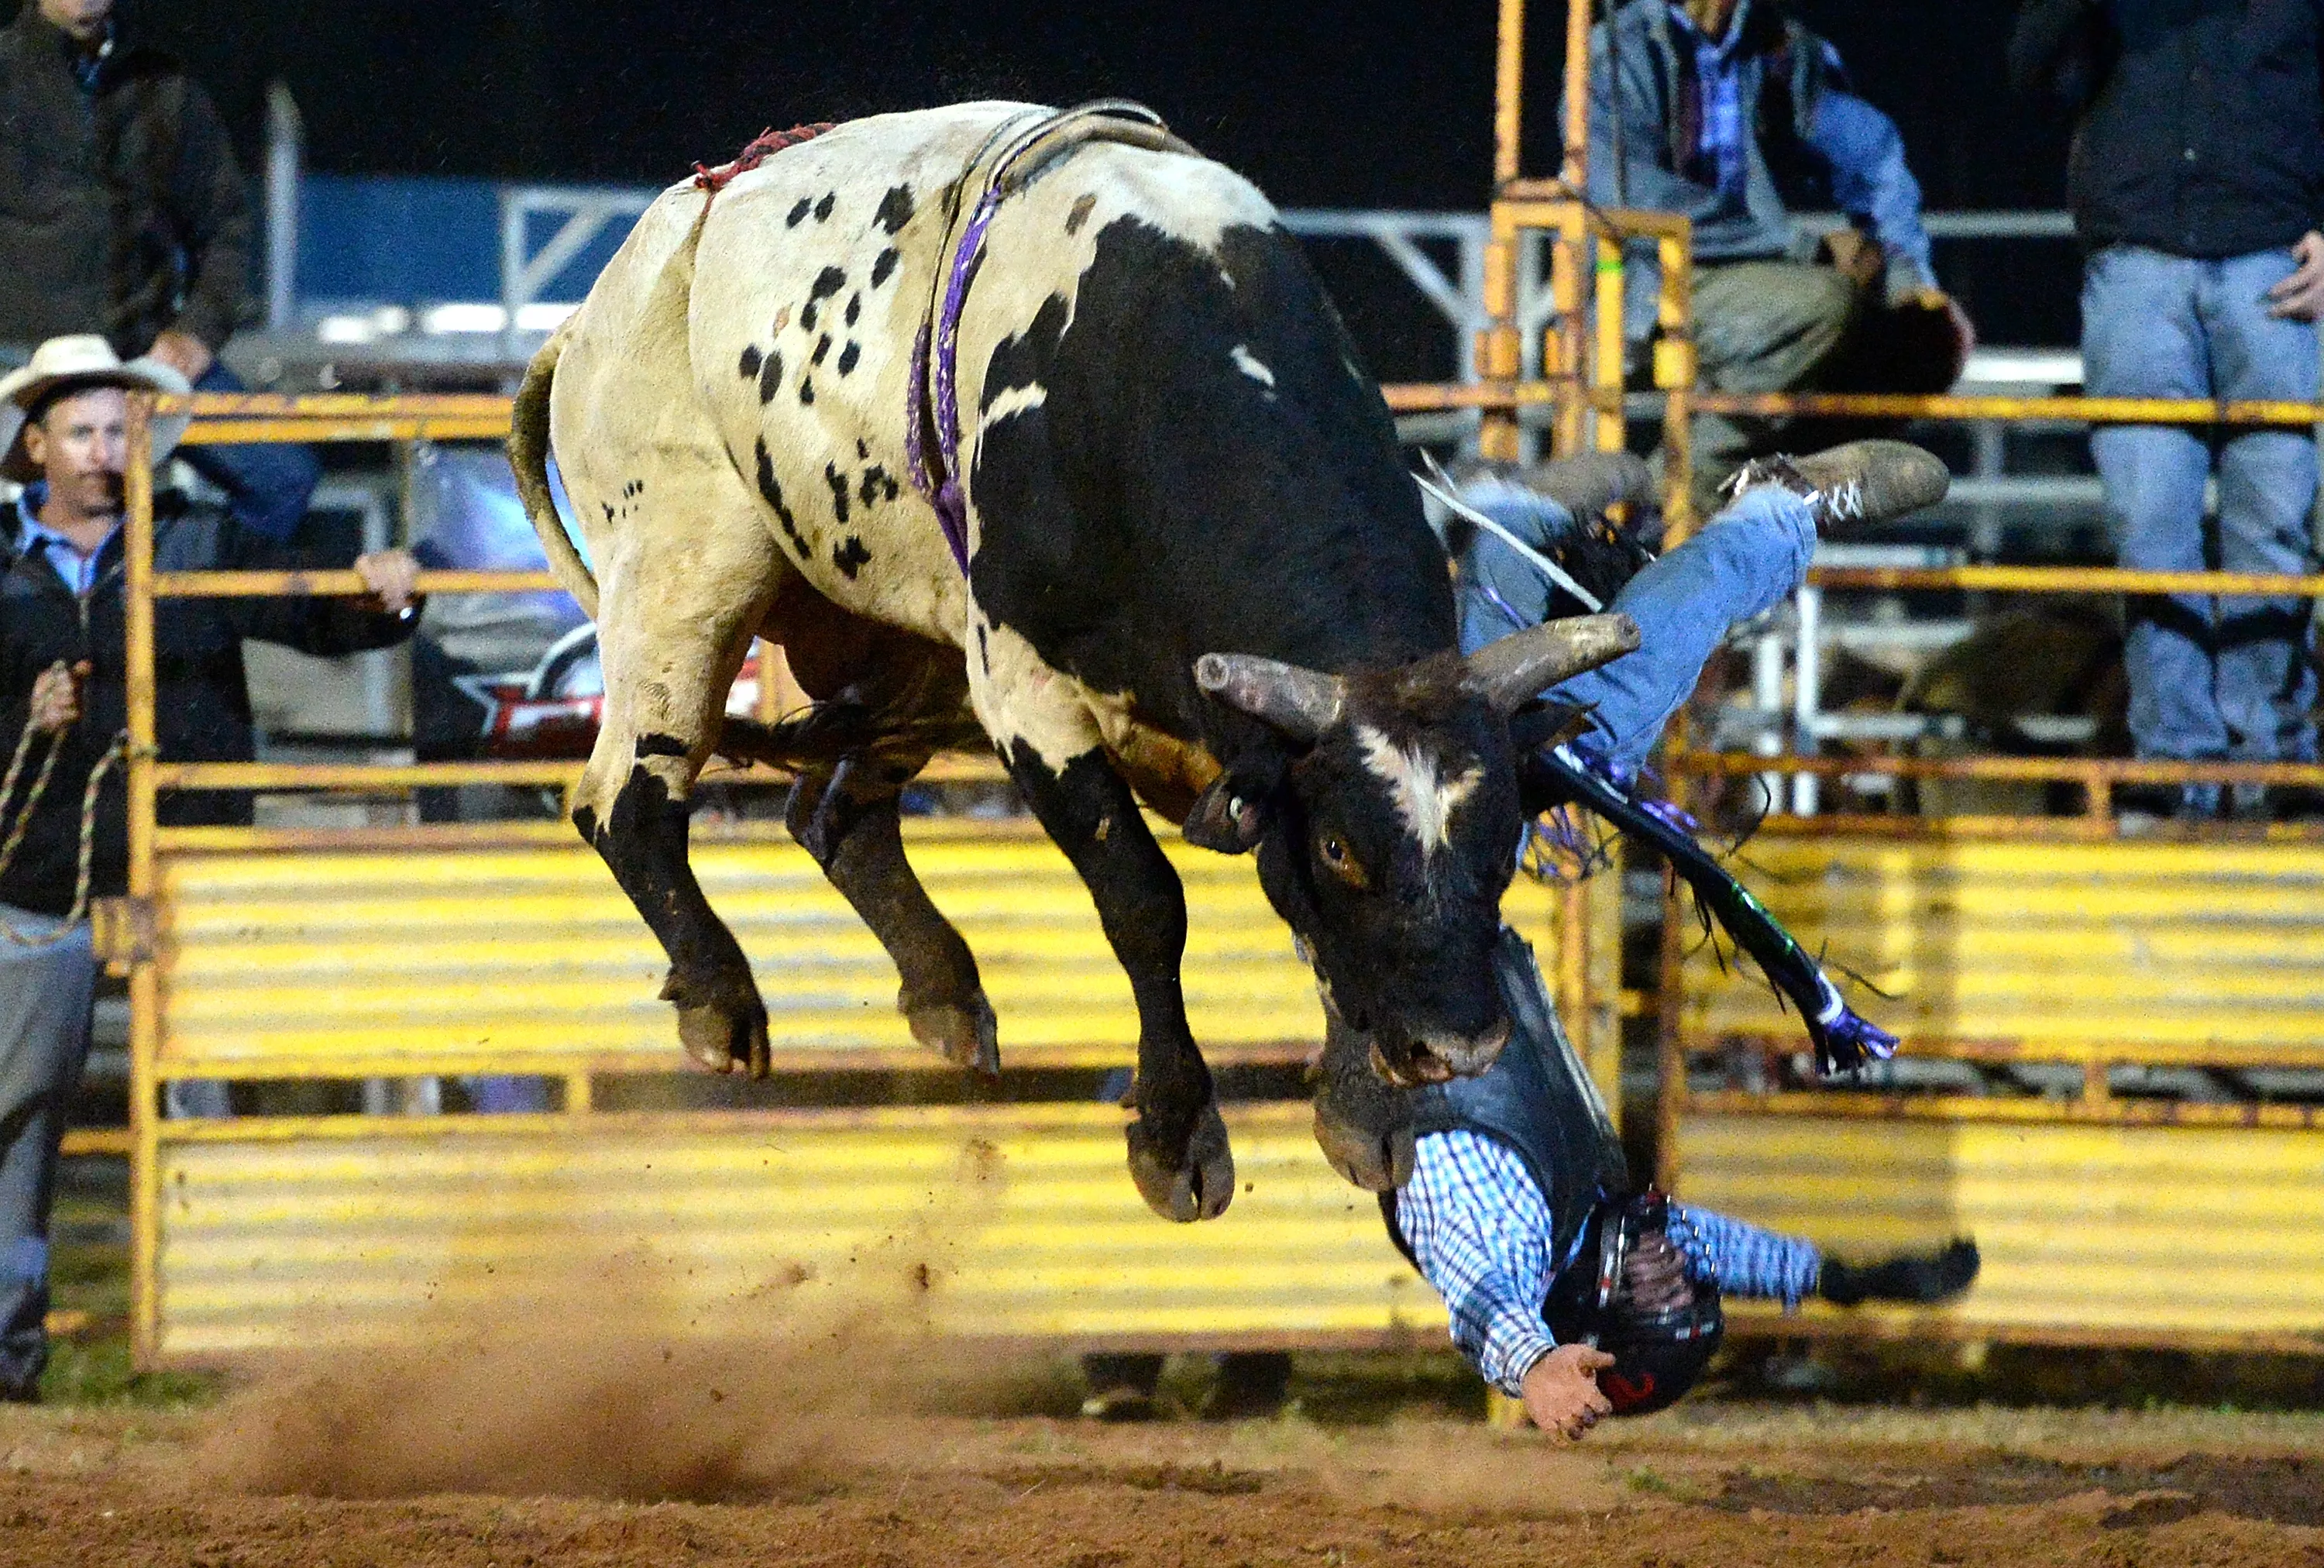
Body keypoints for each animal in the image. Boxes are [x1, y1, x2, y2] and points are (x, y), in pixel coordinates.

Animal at [507, 101, 1636, 1223]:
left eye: (1505, 837)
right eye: (1342, 848)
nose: (1457, 1045)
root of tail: (590, 317)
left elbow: (1306, 927)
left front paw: (1361, 1112)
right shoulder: (1025, 691)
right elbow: (1145, 901)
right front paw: (1178, 1137)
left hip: (918, 641)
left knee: (835, 815)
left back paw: (945, 992)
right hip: (685, 582)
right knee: (629, 801)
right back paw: (721, 1002)